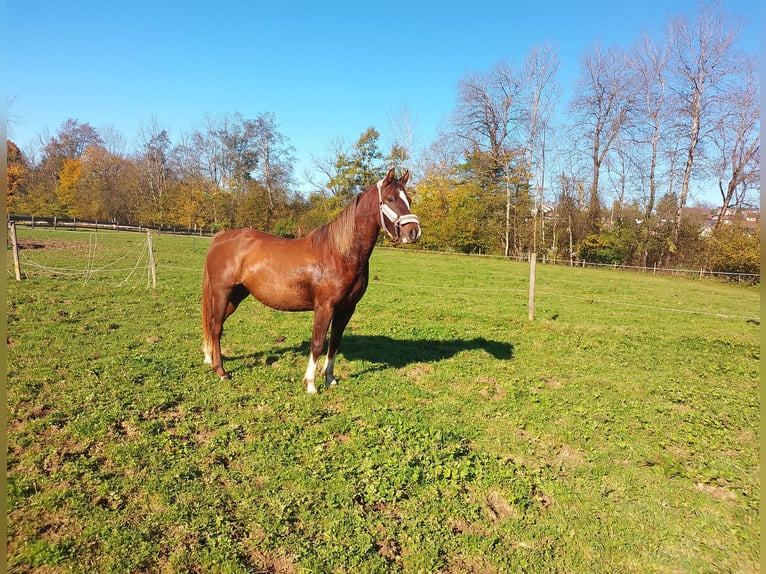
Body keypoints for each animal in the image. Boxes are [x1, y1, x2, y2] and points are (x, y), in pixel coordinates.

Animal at [201, 166, 424, 392]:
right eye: (390, 199)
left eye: (409, 199)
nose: (413, 231)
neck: (340, 253)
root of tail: (221, 237)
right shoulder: (324, 307)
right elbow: (317, 344)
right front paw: (310, 384)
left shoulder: (346, 309)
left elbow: (334, 343)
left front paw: (330, 378)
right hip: (222, 293)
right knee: (217, 327)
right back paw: (221, 371)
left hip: (236, 296)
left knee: (213, 325)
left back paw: (210, 360)